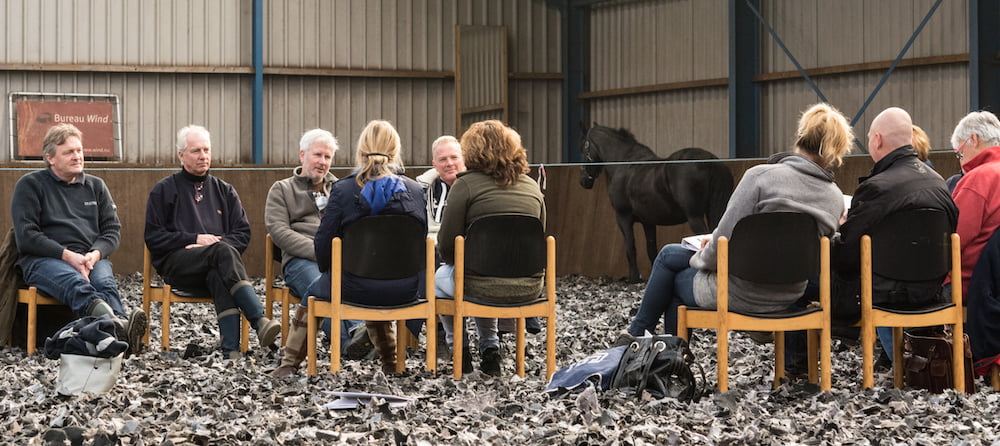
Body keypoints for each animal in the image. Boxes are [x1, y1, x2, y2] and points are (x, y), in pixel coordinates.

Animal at [580, 123, 734, 283]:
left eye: (583, 149)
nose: (584, 181)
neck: (623, 164)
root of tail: (710, 161)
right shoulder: (648, 222)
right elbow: (651, 248)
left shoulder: (623, 217)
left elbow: (630, 247)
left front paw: (634, 278)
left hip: (695, 217)